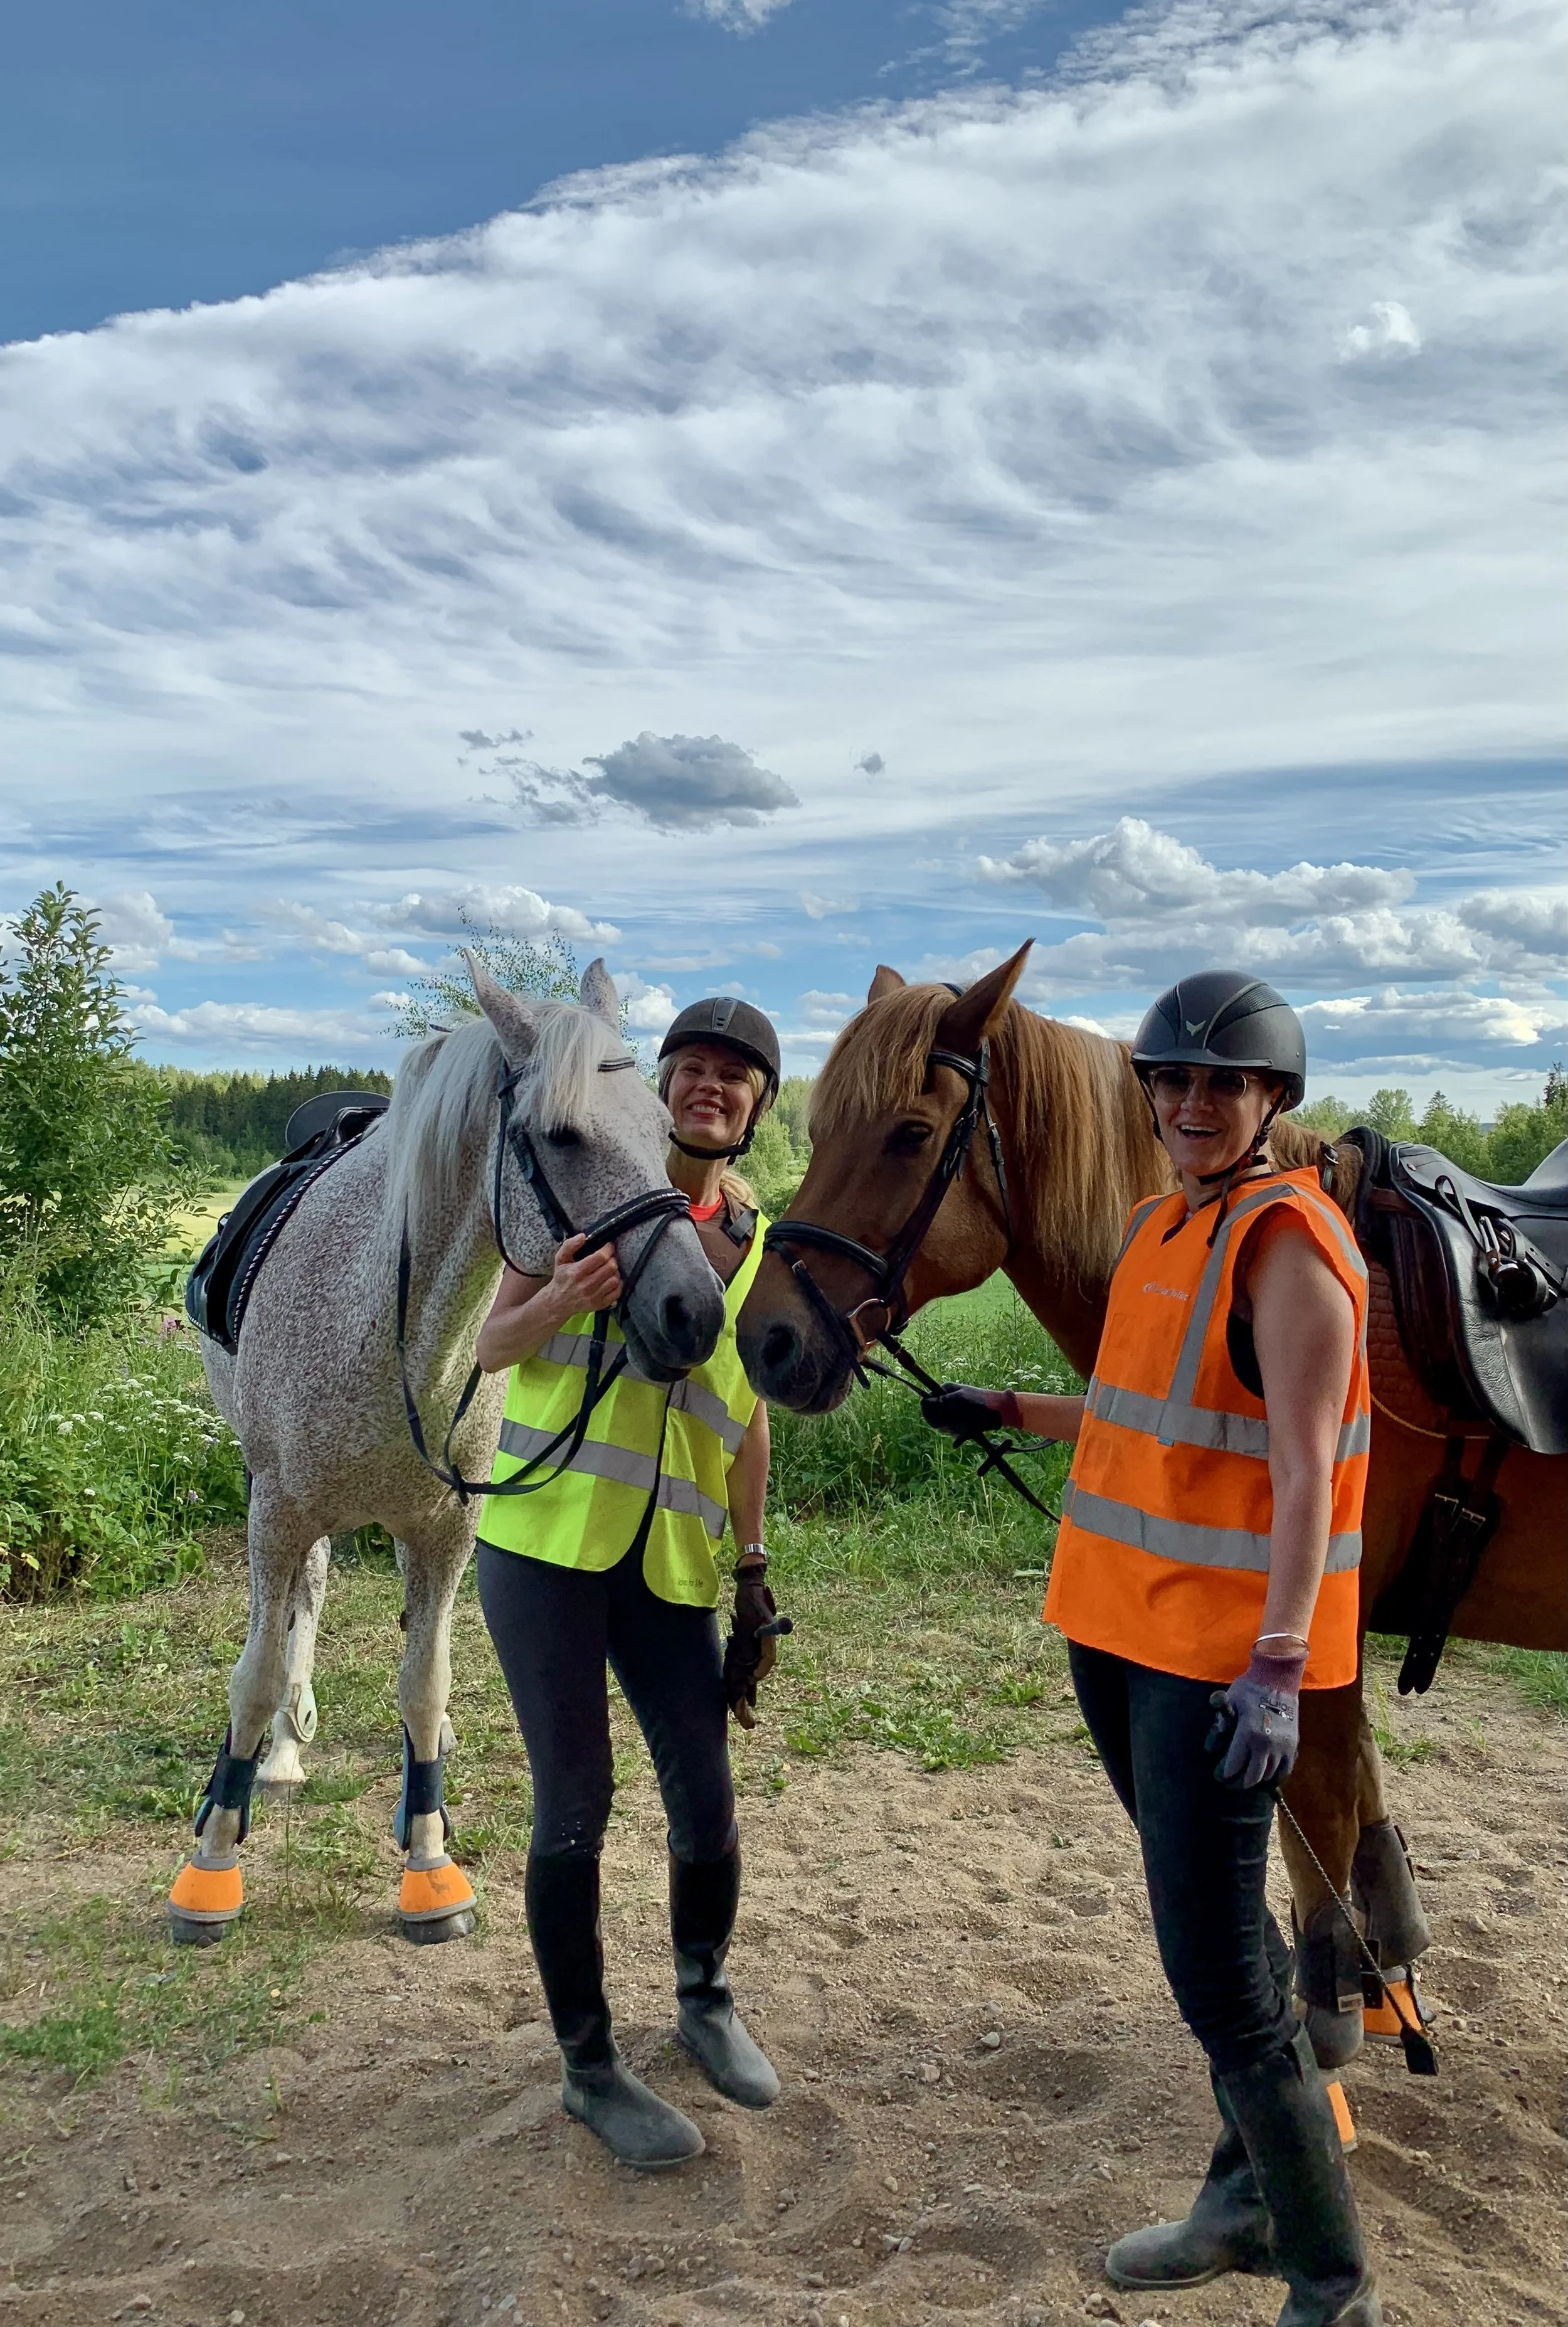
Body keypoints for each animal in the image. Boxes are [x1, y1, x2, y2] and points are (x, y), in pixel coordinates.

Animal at [168, 959, 727, 1946]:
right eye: (561, 1134)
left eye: (663, 1132)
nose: (692, 1312)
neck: (387, 1319)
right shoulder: (277, 1512)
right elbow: (256, 1674)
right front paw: (213, 1861)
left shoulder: (445, 1526)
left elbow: (423, 1680)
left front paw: (428, 1860)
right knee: (304, 1603)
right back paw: (284, 1750)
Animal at [737, 945, 1567, 2063]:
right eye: (817, 1130)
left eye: (909, 1132)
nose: (766, 1340)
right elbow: (1356, 1808)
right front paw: (1387, 1976)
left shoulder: (1307, 1635)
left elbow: (1316, 1813)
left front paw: (1331, 2009)